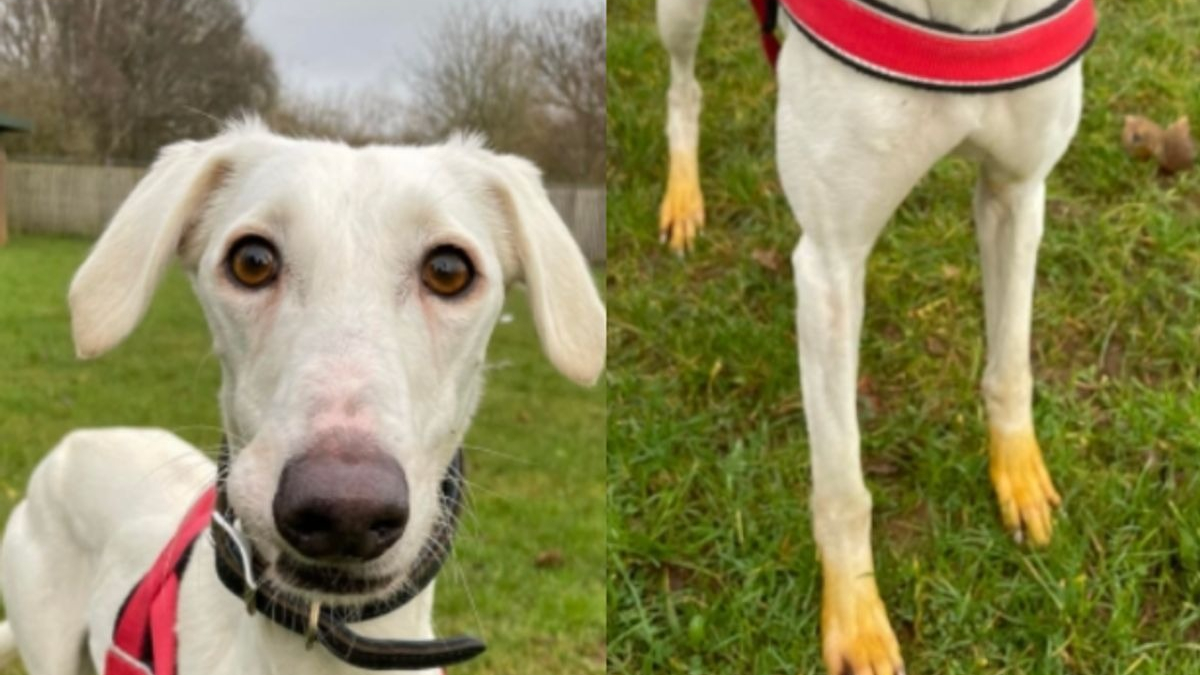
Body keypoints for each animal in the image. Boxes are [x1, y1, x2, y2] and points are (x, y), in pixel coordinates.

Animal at [657, 0, 1099, 667]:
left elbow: (1011, 367)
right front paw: (856, 619)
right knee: (684, 89)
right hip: (678, 19)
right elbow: (843, 485)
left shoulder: (1017, 193)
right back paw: (683, 197)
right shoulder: (830, 267)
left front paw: (1018, 475)